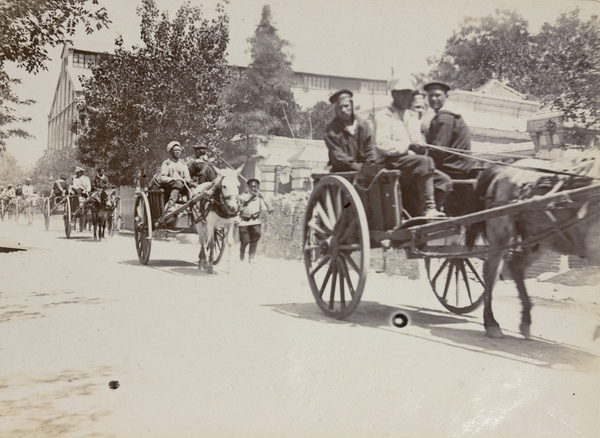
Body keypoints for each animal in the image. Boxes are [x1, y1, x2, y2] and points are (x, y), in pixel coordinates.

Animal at [466, 153, 600, 338]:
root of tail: (504, 170)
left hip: (540, 238)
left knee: (515, 266)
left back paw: (525, 320)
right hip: (501, 233)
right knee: (491, 271)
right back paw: (491, 323)